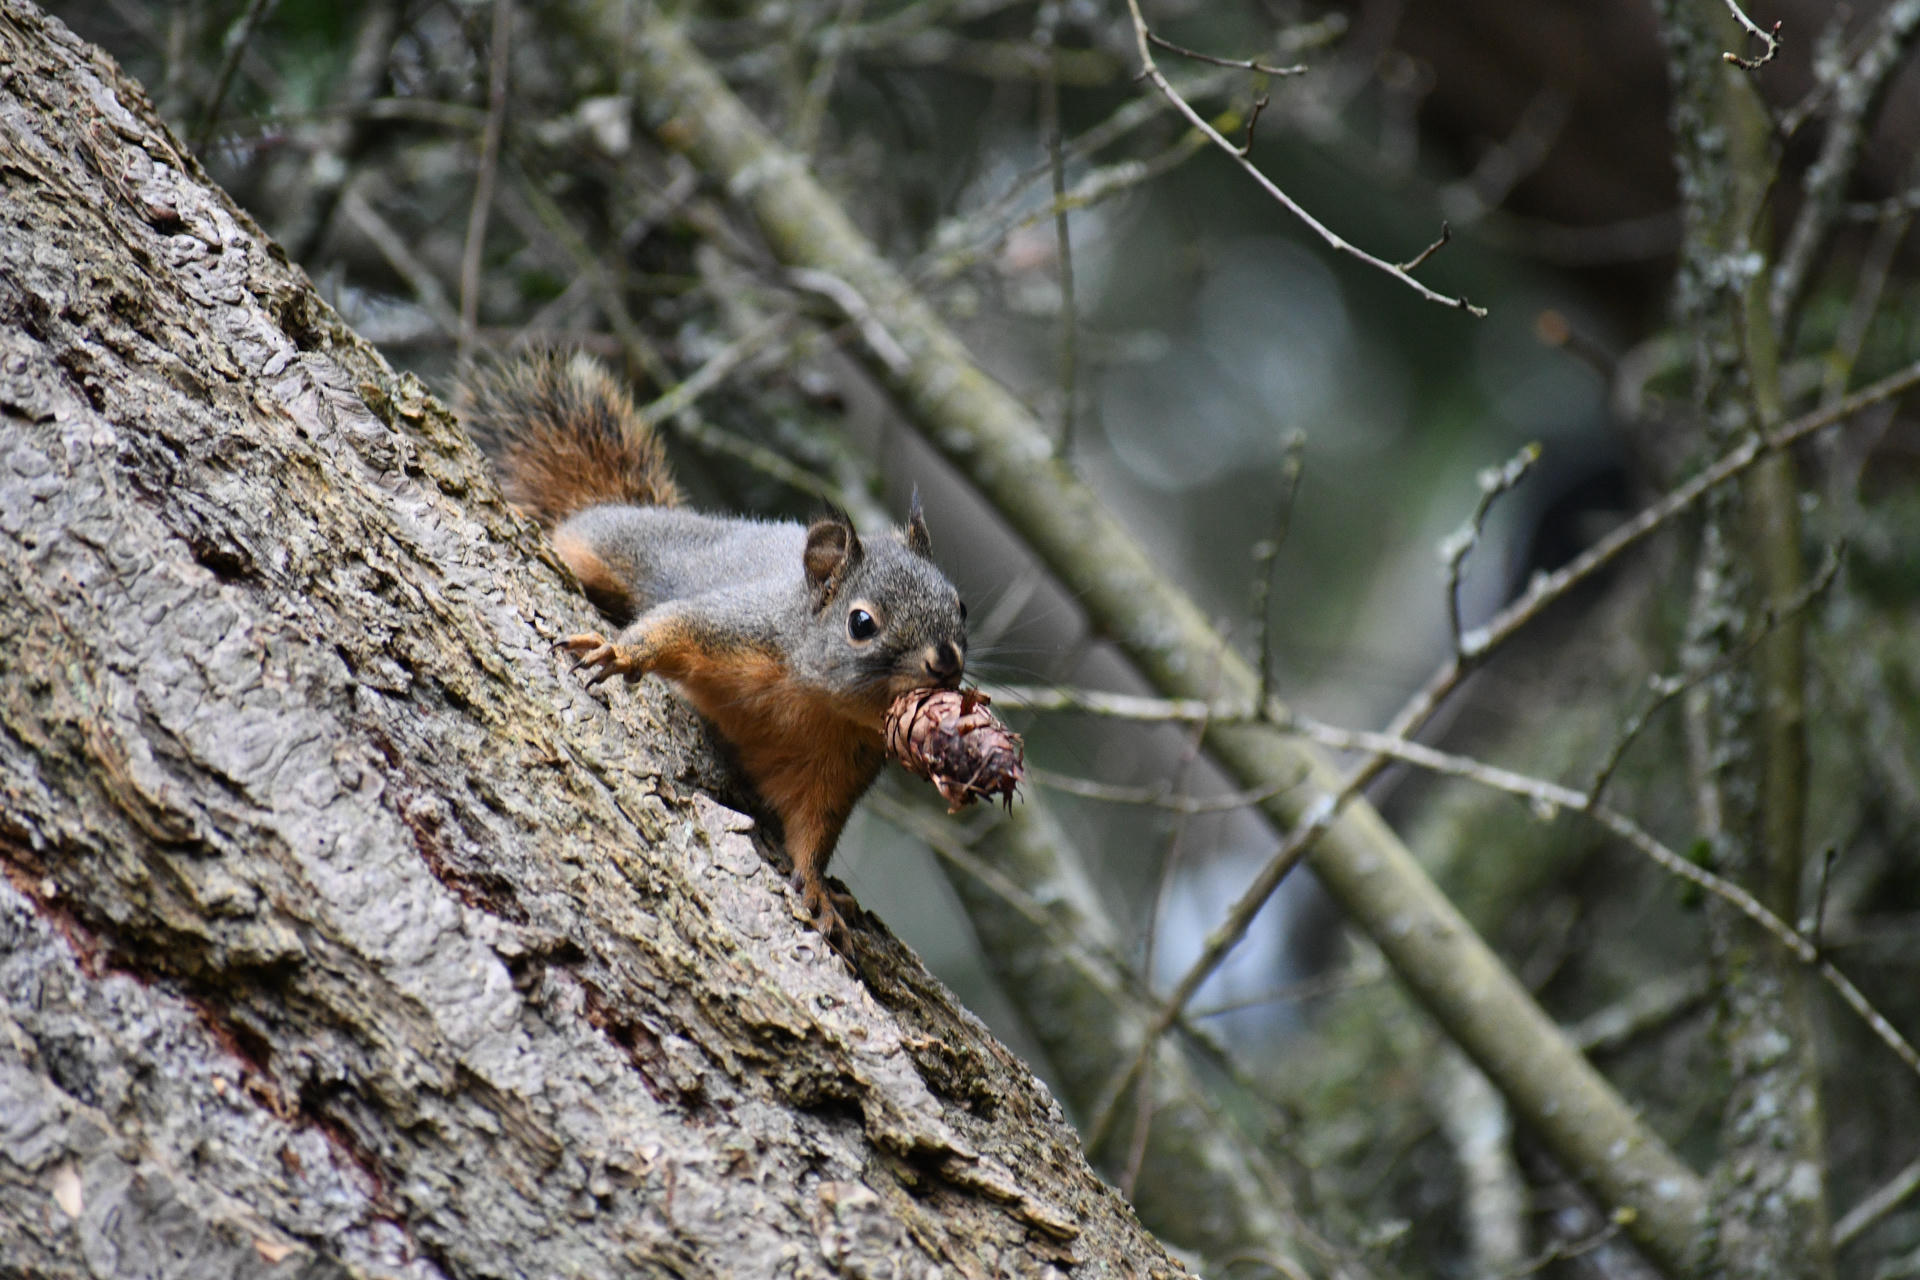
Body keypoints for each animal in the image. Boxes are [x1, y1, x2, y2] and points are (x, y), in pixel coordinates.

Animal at [463, 350, 968, 950]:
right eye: (861, 623)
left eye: (961, 606)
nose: (946, 662)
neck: (817, 701)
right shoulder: (737, 627)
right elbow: (674, 625)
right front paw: (619, 652)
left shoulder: (841, 766)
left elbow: (812, 829)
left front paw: (818, 890)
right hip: (612, 544)